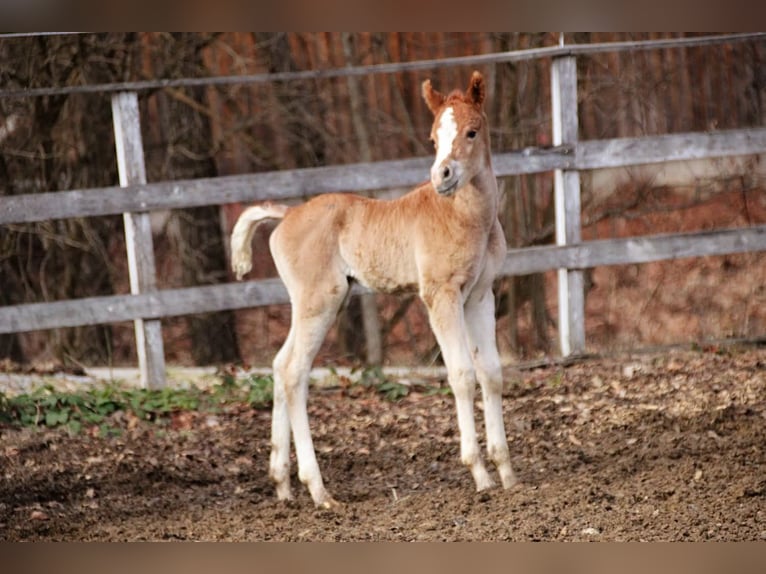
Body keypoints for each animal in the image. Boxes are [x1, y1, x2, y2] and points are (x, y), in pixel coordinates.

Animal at [231, 71, 517, 508]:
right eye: (433, 138)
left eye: (471, 131)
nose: (443, 177)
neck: (467, 218)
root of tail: (288, 214)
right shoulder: (440, 296)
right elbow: (462, 374)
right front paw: (480, 475)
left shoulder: (481, 296)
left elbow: (492, 374)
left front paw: (507, 474)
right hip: (321, 301)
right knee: (295, 372)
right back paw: (319, 491)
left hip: (314, 303)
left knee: (279, 366)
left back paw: (282, 485)